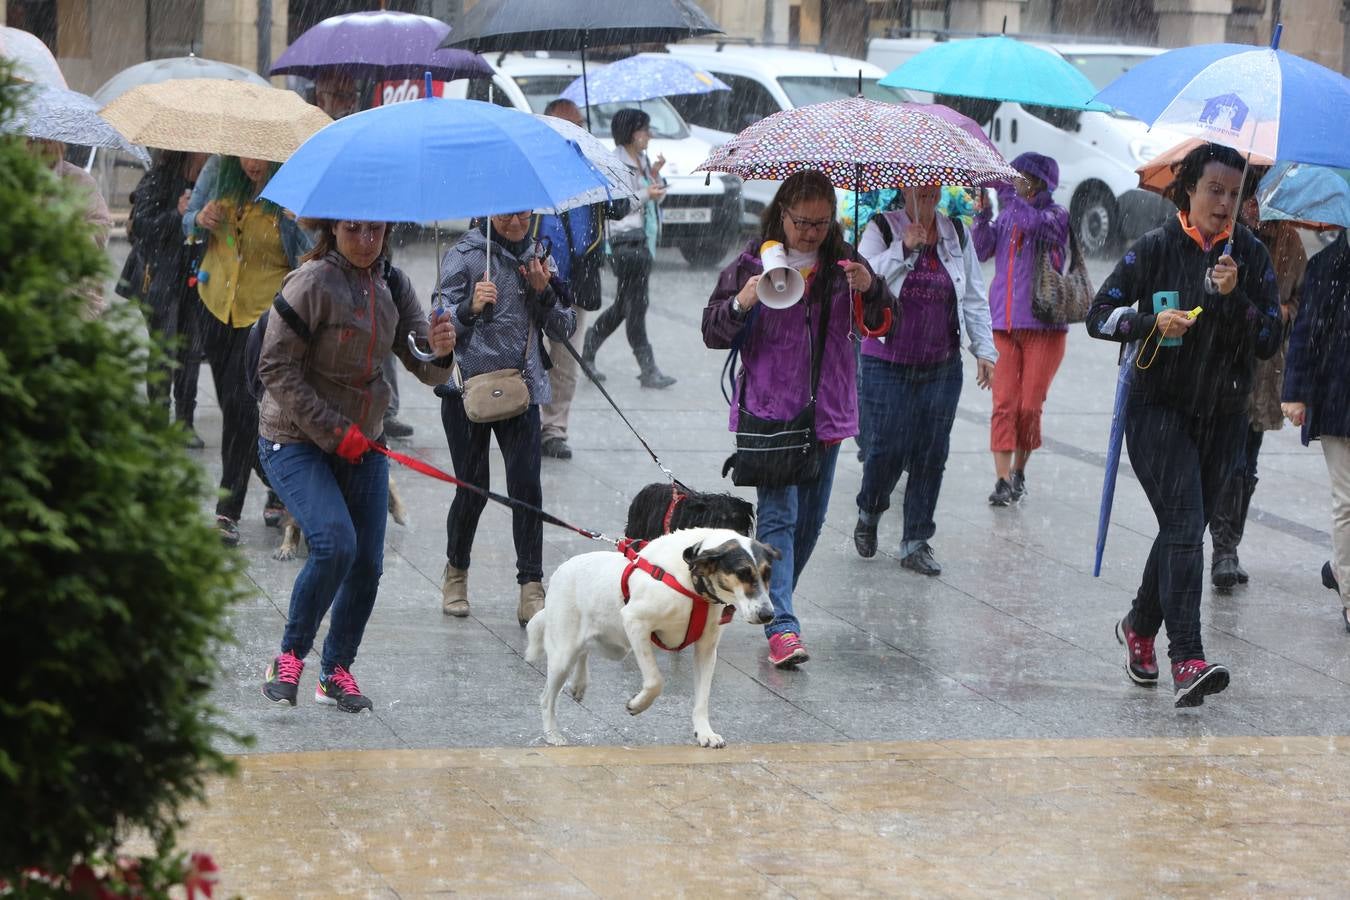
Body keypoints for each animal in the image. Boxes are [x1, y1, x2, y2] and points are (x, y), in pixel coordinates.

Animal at [526, 528, 783, 755]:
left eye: (768, 573)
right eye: (742, 573)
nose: (768, 615)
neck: (691, 582)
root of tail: (562, 569)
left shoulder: (707, 648)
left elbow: (703, 697)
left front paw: (704, 732)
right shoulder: (635, 623)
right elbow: (655, 681)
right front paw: (638, 704)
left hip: (612, 645)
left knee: (584, 651)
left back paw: (579, 683)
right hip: (565, 652)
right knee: (546, 697)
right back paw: (552, 734)